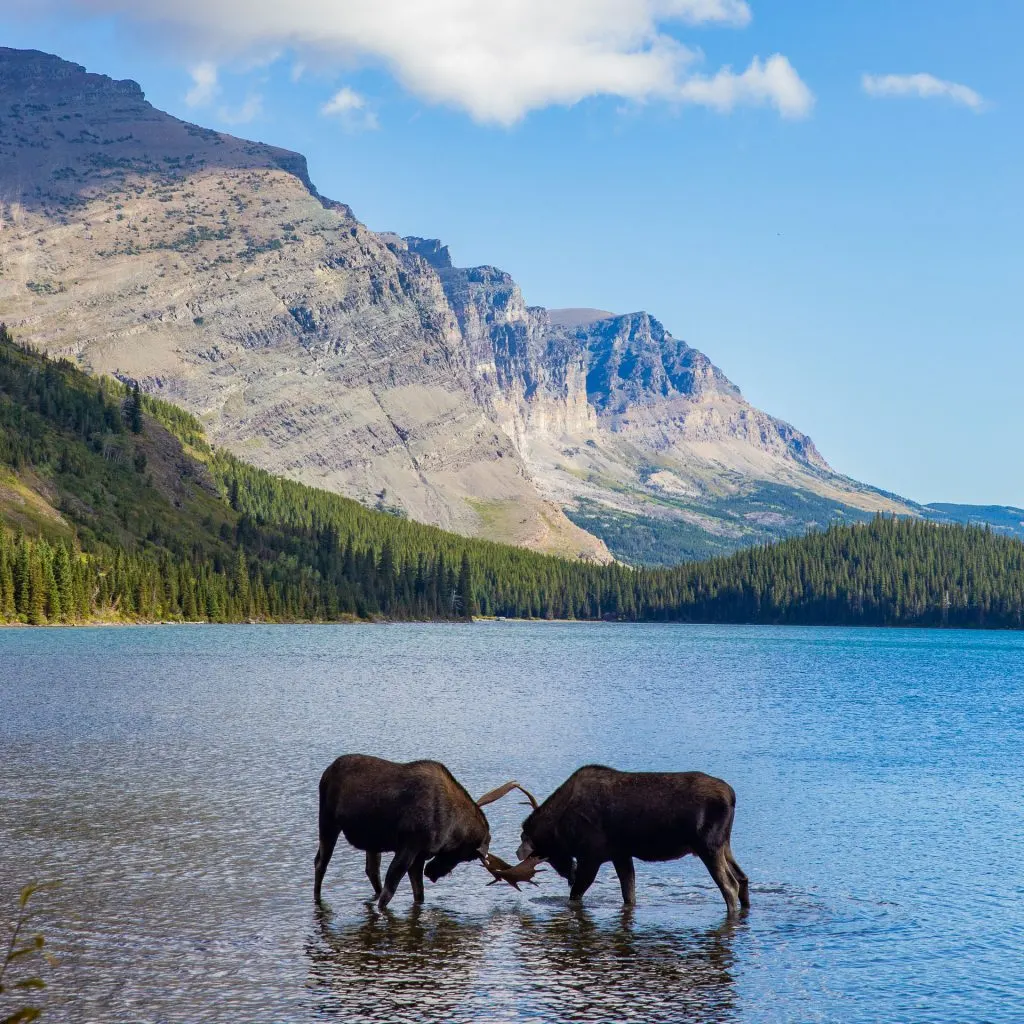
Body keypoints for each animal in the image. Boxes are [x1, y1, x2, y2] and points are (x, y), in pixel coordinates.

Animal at [516, 765, 749, 917]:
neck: (560, 827)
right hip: (725, 845)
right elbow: (629, 895)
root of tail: (732, 796)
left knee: (730, 885)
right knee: (743, 878)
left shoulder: (591, 857)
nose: (518, 852)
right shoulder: (621, 854)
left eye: (542, 854)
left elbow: (576, 894)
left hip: (708, 846)